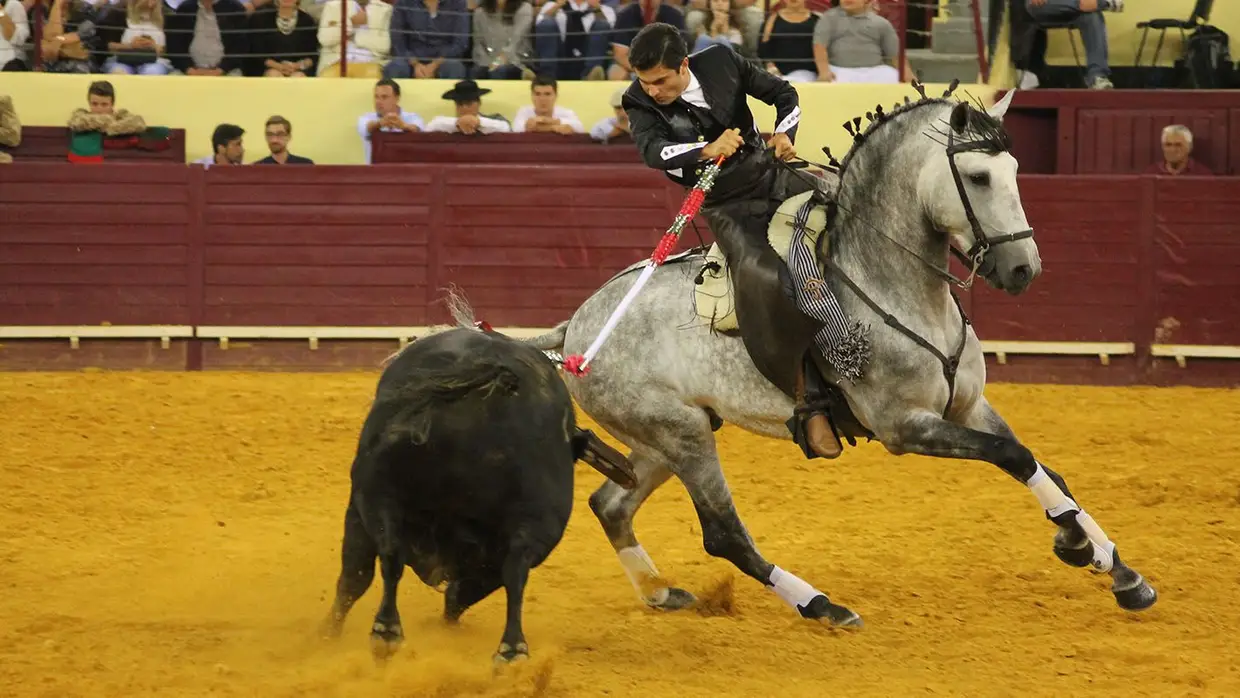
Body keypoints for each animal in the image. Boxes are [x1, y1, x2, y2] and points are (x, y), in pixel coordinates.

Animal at [319, 327, 634, 664]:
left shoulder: (358, 508)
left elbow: (354, 577)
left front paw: (328, 633)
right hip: (533, 518)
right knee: (511, 569)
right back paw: (508, 650)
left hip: (376, 495)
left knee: (391, 555)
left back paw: (389, 631)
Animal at [518, 87, 1155, 627]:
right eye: (977, 176)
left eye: (1017, 172)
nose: (1024, 269)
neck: (892, 281)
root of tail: (574, 331)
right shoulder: (905, 427)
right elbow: (1014, 456)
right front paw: (1081, 547)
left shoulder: (969, 405)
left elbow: (1048, 472)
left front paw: (1116, 569)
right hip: (681, 436)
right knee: (722, 534)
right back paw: (823, 606)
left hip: (665, 438)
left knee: (610, 504)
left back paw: (659, 591)